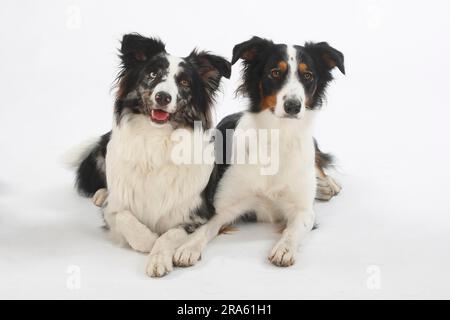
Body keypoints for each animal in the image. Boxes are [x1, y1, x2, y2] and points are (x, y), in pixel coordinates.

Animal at [73, 33, 232, 276]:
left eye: (184, 82)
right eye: (152, 74)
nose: (163, 97)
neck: (156, 140)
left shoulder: (197, 214)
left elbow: (170, 234)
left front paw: (158, 257)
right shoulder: (114, 210)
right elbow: (125, 218)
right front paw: (148, 240)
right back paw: (101, 194)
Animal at [171, 37, 344, 272]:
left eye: (308, 75)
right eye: (274, 73)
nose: (293, 106)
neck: (278, 135)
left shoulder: (304, 211)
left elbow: (293, 230)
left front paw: (284, 249)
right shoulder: (224, 207)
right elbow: (205, 228)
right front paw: (188, 247)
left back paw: (329, 185)